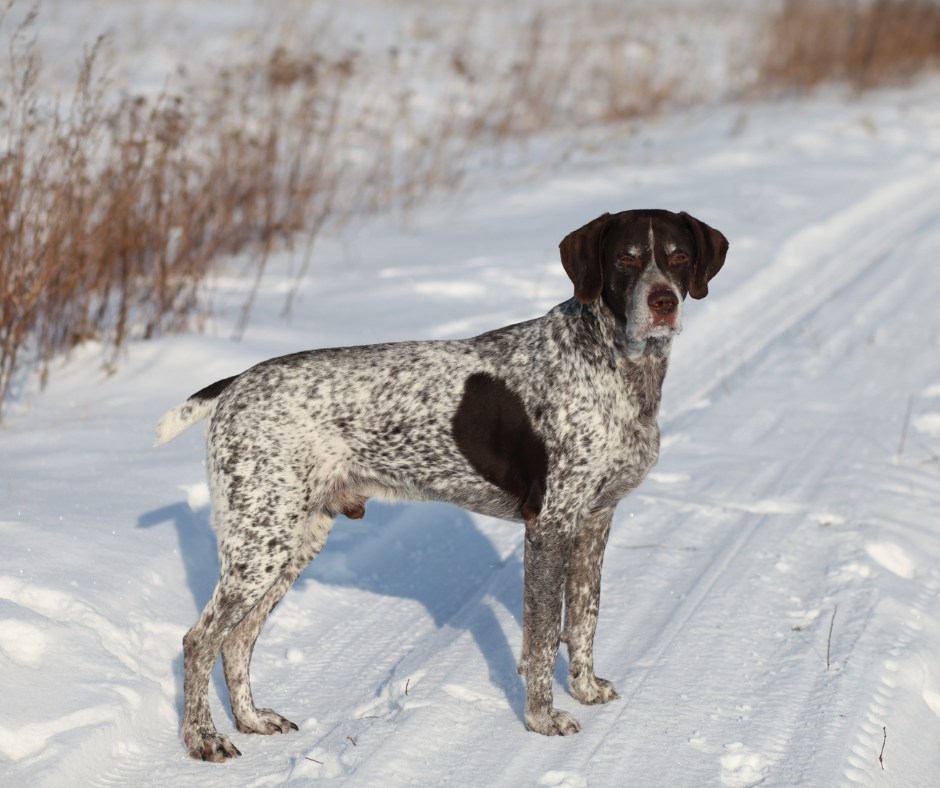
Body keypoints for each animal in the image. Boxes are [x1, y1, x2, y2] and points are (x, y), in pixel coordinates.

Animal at [152, 208, 728, 756]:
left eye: (678, 256)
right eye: (625, 259)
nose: (663, 301)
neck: (615, 362)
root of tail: (236, 384)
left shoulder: (595, 520)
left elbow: (584, 619)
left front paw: (584, 691)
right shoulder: (550, 526)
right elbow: (543, 637)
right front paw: (543, 720)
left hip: (293, 540)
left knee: (237, 639)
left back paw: (251, 720)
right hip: (261, 543)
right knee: (200, 641)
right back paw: (203, 739)